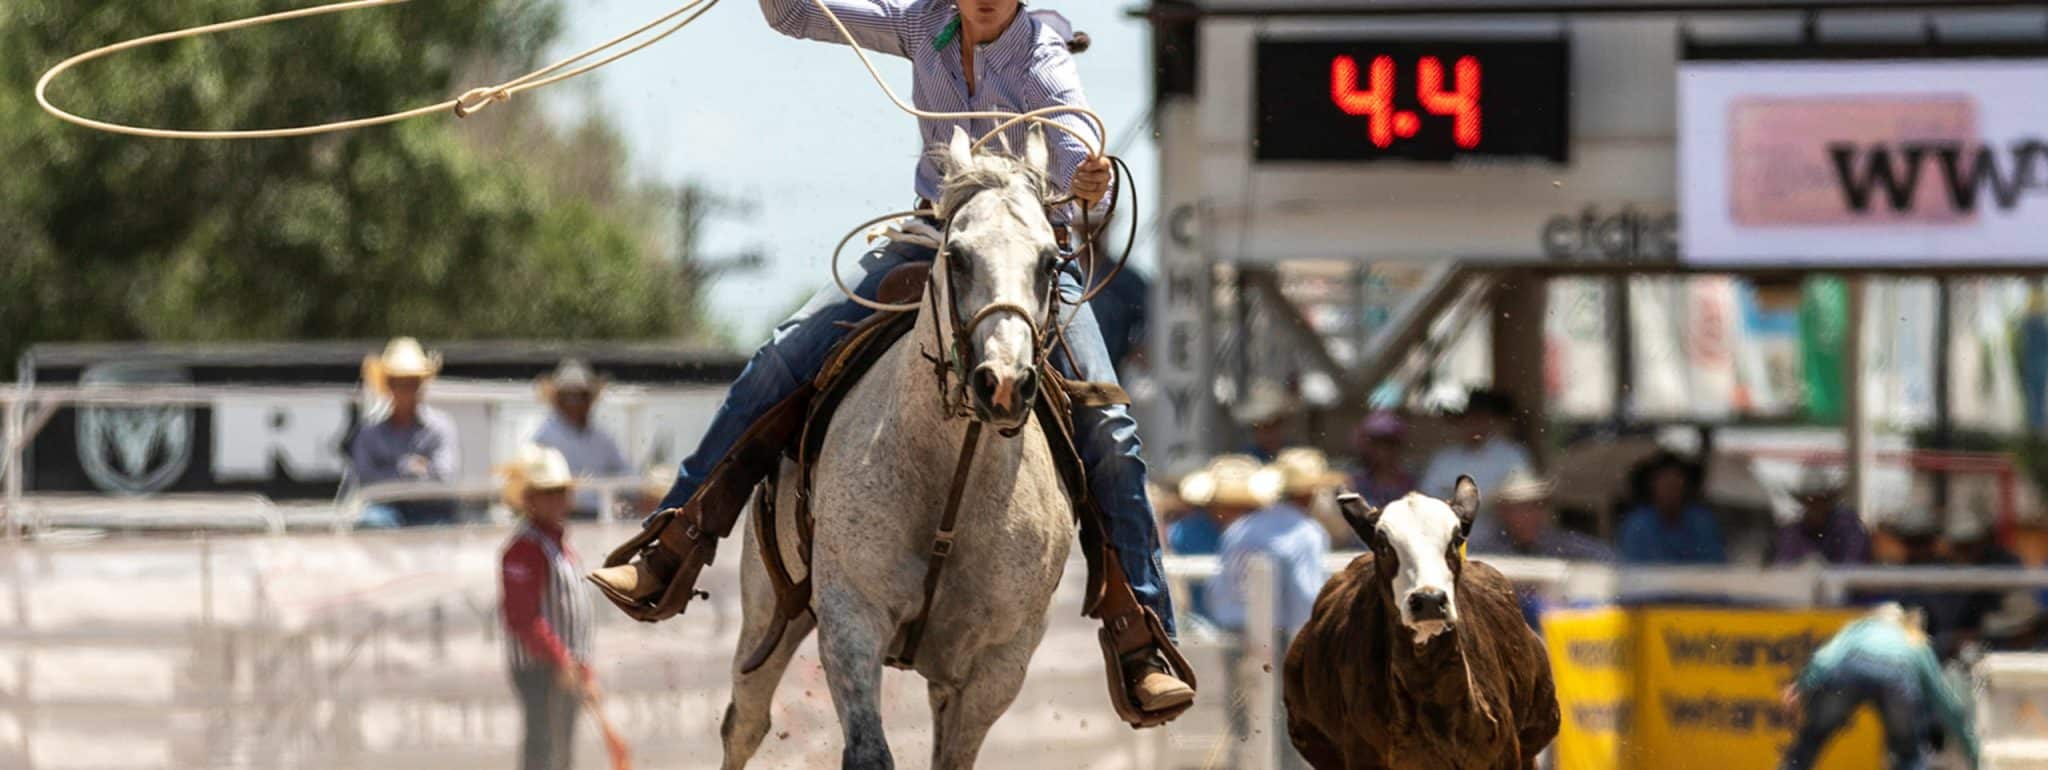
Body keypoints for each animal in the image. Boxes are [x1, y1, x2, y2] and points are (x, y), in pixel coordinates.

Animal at [716, 127, 1073, 770]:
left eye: (1050, 260)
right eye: (957, 256)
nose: (1003, 383)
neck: (952, 483)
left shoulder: (1000, 662)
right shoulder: (851, 616)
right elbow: (867, 752)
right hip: (765, 610)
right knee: (745, 722)